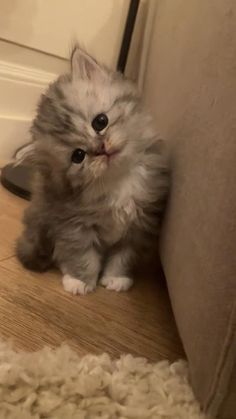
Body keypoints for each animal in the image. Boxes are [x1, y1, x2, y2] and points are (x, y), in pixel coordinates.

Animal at [16, 46, 168, 296]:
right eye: (78, 156)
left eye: (100, 121)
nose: (101, 149)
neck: (117, 181)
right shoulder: (73, 226)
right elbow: (83, 258)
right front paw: (80, 281)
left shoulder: (139, 224)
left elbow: (123, 257)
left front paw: (116, 278)